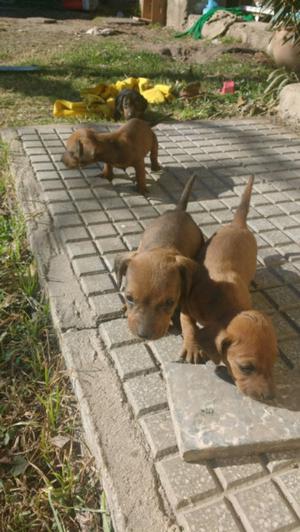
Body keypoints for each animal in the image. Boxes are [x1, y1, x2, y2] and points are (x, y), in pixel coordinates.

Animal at [114, 175, 204, 340]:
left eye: (169, 302)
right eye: (129, 298)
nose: (144, 335)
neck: (160, 247)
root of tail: (179, 210)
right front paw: (124, 307)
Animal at [179, 177, 278, 402]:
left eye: (274, 362)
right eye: (246, 367)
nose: (270, 397)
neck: (223, 304)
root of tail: (237, 224)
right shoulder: (186, 304)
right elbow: (188, 325)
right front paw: (192, 346)